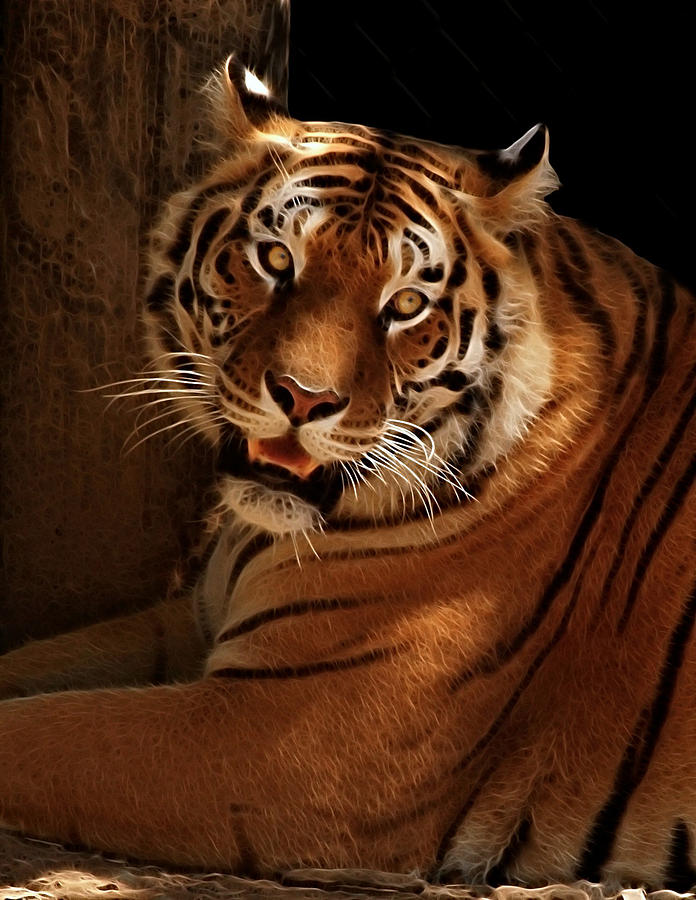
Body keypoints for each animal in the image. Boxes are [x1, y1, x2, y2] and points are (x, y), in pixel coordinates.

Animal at [1, 58, 696, 892]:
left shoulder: (280, 738)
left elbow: (34, 731)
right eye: (277, 262)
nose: (304, 399)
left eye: (406, 304)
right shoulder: (198, 620)